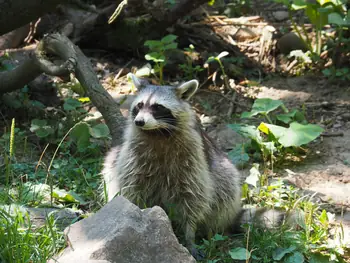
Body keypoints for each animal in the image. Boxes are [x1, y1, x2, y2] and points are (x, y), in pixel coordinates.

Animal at [102, 75, 290, 256]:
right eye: (139, 105)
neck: (158, 132)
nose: (139, 122)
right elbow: (131, 185)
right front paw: (136, 215)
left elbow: (193, 195)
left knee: (225, 183)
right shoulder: (133, 155)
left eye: (157, 107)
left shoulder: (193, 155)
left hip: (221, 171)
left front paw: (189, 233)